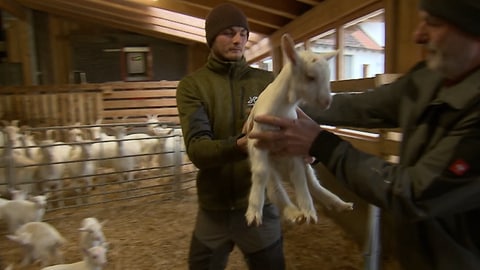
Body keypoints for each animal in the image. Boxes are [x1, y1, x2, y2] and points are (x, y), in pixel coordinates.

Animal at [244, 34, 352, 227]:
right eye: (310, 77)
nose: (327, 102)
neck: (284, 107)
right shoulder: (258, 141)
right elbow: (260, 173)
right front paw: (254, 212)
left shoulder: (293, 143)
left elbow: (300, 178)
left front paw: (309, 211)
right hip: (273, 168)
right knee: (274, 188)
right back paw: (293, 212)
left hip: (301, 161)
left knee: (312, 183)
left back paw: (339, 205)